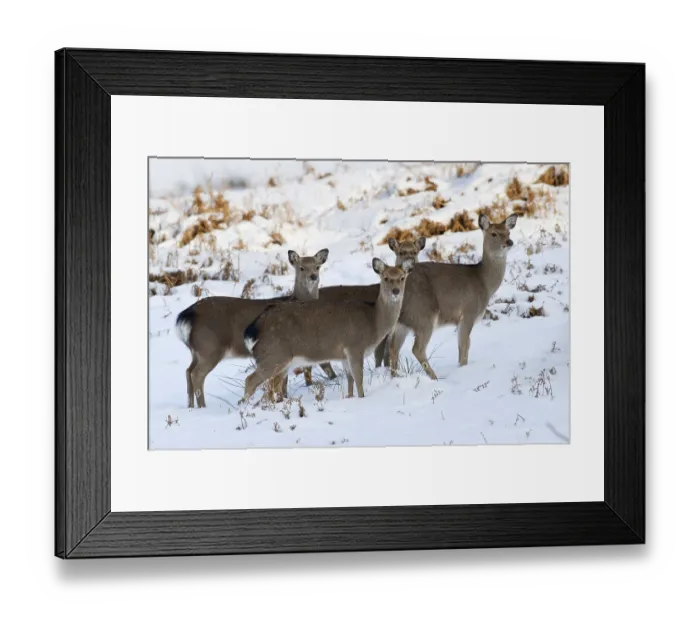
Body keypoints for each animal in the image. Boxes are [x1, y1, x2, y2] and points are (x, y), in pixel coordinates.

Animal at [175, 248, 334, 409]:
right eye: (301, 268)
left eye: (317, 267)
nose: (313, 277)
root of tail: (186, 315)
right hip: (210, 346)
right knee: (197, 374)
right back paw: (203, 406)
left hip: (196, 350)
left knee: (188, 371)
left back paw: (191, 407)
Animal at [242, 257, 415, 401]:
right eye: (385, 278)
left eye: (402, 277)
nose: (395, 291)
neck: (374, 322)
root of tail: (254, 328)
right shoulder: (354, 346)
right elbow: (359, 380)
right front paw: (362, 399)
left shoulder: (344, 355)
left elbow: (350, 380)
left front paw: (350, 398)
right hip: (274, 354)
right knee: (251, 380)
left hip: (281, 360)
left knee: (273, 383)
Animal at [387, 213, 519, 379]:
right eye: (494, 233)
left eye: (508, 232)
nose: (509, 242)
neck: (484, 282)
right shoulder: (468, 313)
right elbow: (464, 348)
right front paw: (463, 371)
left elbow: (462, 348)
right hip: (423, 314)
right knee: (417, 348)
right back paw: (435, 378)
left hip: (403, 322)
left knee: (393, 348)